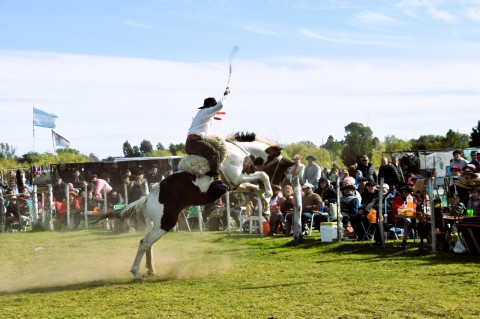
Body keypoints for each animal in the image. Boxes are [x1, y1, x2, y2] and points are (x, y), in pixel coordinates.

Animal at [97, 132, 292, 280]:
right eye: (282, 171)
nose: (277, 189)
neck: (238, 152)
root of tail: (148, 197)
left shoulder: (236, 184)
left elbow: (256, 189)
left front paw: (266, 209)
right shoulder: (237, 178)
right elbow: (262, 178)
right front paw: (268, 196)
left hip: (160, 224)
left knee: (148, 243)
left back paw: (151, 270)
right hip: (166, 222)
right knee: (145, 242)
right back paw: (136, 273)